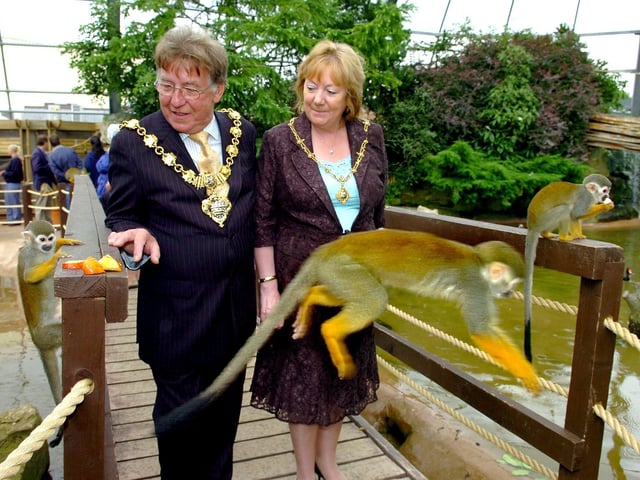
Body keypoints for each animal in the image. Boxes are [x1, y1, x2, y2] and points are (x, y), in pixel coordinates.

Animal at [16, 220, 82, 446]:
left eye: (50, 238)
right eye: (42, 240)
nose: (48, 246)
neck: (36, 251)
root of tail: (37, 342)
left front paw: (62, 242)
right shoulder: (29, 258)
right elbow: (29, 276)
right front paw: (55, 258)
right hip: (48, 335)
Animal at [155, 228, 539, 434]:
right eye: (511, 284)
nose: (509, 294)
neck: (479, 263)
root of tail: (329, 248)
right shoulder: (476, 287)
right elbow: (480, 331)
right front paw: (528, 373)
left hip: (336, 273)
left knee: (340, 292)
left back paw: (311, 301)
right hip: (345, 269)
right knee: (374, 298)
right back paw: (330, 333)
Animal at [523, 173, 614, 362]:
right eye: (604, 191)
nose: (606, 196)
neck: (588, 193)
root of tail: (531, 225)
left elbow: (576, 218)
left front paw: (579, 235)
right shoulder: (584, 199)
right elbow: (576, 213)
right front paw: (605, 206)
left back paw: (548, 234)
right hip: (546, 218)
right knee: (566, 209)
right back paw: (564, 238)